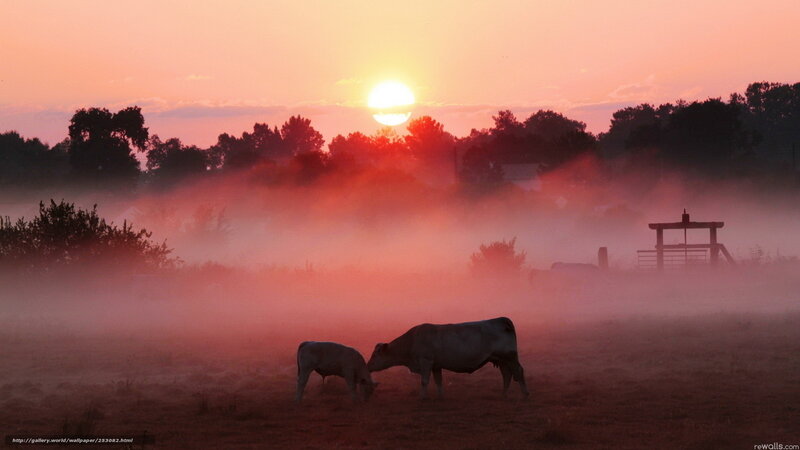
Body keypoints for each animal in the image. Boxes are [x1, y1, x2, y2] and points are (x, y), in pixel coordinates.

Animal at [367, 317, 529, 399]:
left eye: (375, 354)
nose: (368, 366)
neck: (412, 340)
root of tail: (502, 319)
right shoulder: (436, 365)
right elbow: (438, 381)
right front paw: (440, 396)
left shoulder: (426, 362)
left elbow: (424, 381)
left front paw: (422, 397)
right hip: (501, 360)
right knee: (507, 375)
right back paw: (503, 394)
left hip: (510, 357)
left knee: (518, 372)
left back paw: (525, 394)